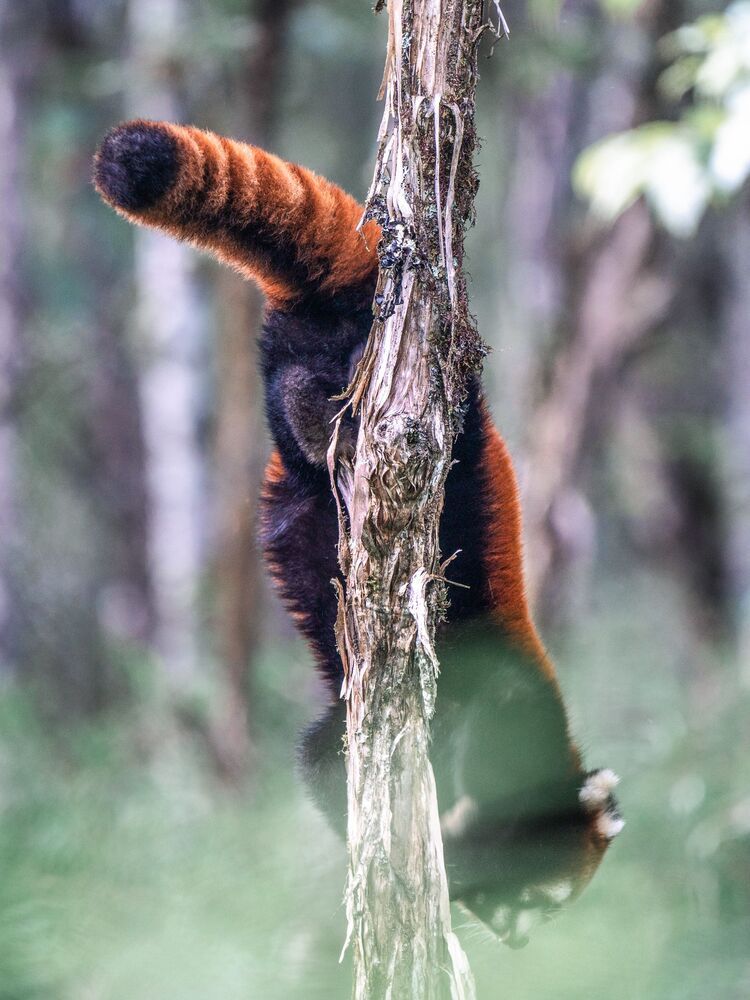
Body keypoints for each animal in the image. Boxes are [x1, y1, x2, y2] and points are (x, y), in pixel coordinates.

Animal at [94, 119, 623, 948]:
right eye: (540, 901)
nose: (516, 939)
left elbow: (320, 758)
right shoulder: (503, 684)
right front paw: (456, 818)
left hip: (290, 381)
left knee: (286, 391)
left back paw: (314, 426)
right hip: (422, 400)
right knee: (355, 392)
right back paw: (337, 421)